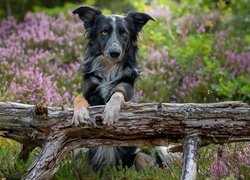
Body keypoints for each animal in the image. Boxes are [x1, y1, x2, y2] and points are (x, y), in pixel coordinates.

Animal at [71, 5, 167, 172]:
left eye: (124, 33)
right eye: (104, 32)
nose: (114, 53)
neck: (109, 69)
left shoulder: (127, 89)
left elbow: (117, 93)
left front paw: (110, 112)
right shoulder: (89, 91)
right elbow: (79, 97)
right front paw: (80, 113)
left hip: (138, 156)